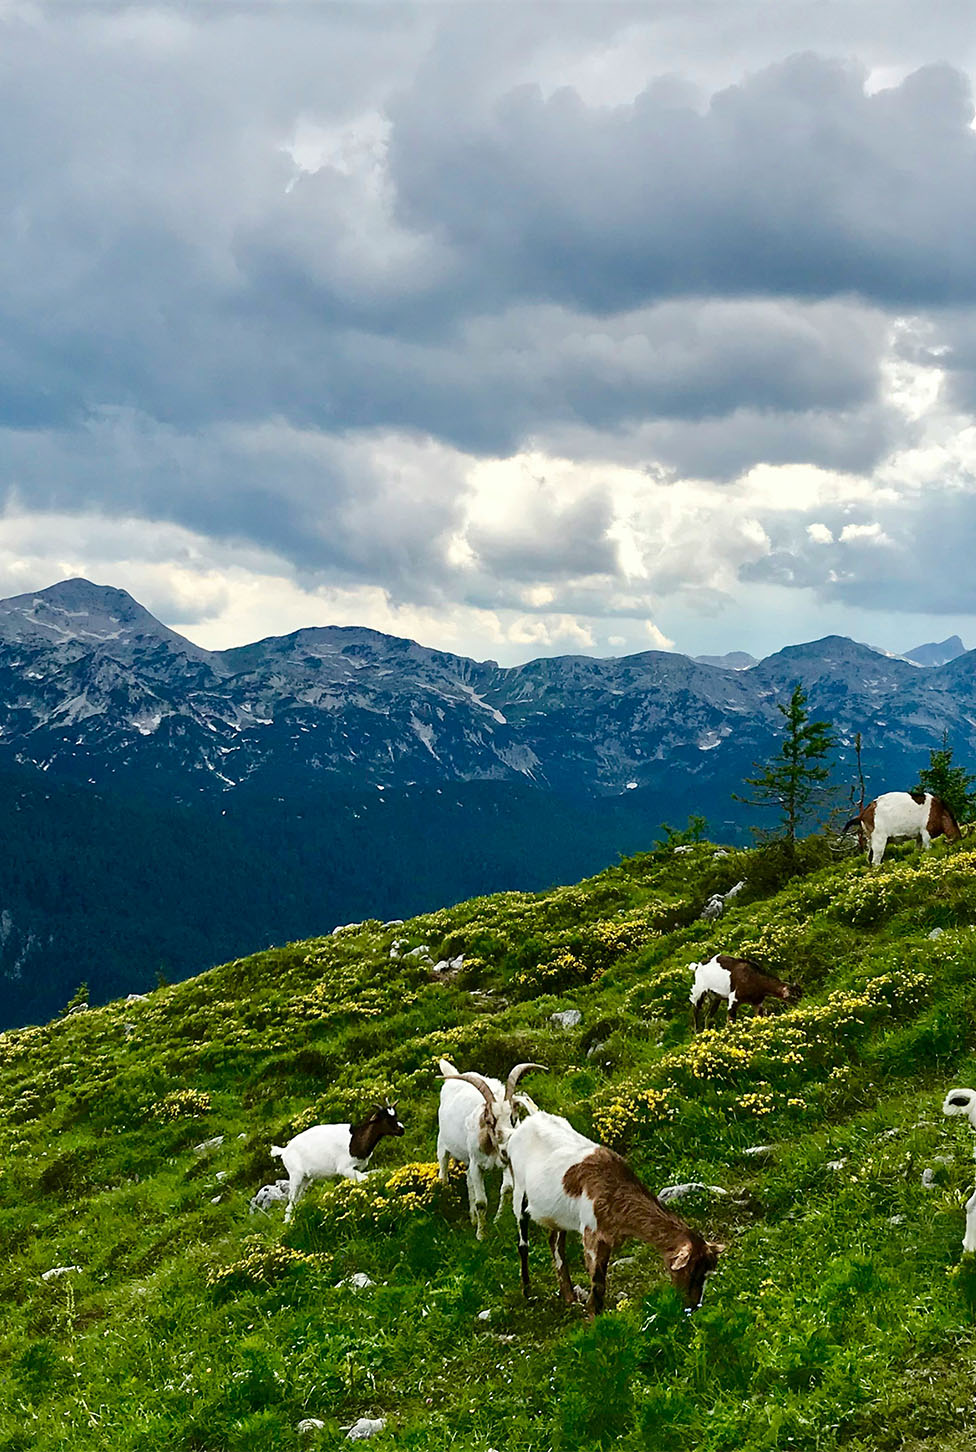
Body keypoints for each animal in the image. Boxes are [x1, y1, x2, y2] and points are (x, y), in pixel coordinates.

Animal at [268, 1097, 400, 1225]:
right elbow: (365, 1179)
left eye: (395, 1115)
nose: (401, 1130)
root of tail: (284, 1151)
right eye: (386, 1118)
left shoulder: (356, 1168)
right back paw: (288, 1223)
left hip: (305, 1178)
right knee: (291, 1200)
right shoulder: (344, 1168)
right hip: (295, 1175)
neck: (354, 1140)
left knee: (296, 1200)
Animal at [438, 1057, 546, 1237]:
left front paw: (497, 1220)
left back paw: (473, 1218)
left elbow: (507, 1189)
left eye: (513, 1118)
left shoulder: (506, 1164)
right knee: (444, 1173)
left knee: (468, 1180)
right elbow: (481, 1202)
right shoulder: (476, 1165)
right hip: (443, 1145)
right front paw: (481, 1235)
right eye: (489, 1121)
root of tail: (451, 1077)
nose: (506, 1147)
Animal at [508, 1103, 720, 1324]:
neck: (614, 1186)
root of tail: (528, 1121)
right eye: (693, 1271)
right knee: (523, 1243)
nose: (692, 1306)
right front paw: (594, 1318)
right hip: (519, 1191)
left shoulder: (607, 1236)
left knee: (555, 1243)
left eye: (707, 1273)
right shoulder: (591, 1232)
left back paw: (569, 1297)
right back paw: (528, 1292)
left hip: (558, 1215)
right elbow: (597, 1280)